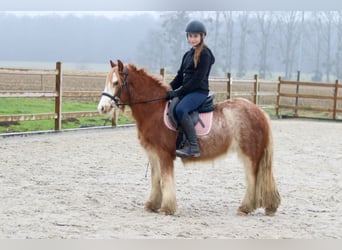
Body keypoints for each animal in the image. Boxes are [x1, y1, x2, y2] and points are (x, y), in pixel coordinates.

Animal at [96, 59, 280, 216]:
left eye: (116, 83)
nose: (102, 108)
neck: (154, 109)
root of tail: (259, 111)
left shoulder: (164, 154)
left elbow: (166, 180)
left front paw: (167, 208)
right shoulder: (153, 154)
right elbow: (156, 179)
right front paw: (152, 205)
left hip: (250, 155)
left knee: (252, 179)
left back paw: (245, 208)